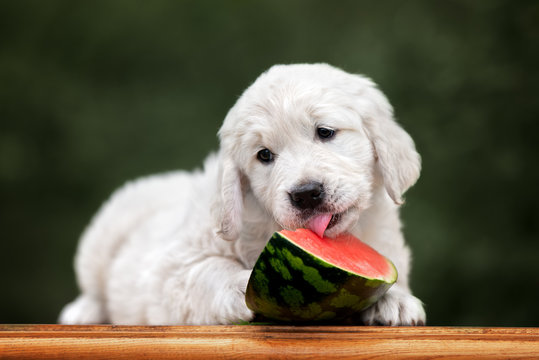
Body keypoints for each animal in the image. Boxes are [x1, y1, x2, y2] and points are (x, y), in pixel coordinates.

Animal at [59, 63, 428, 324]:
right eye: (264, 155)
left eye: (325, 132)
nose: (306, 194)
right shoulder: (175, 266)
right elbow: (207, 272)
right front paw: (240, 283)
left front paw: (395, 300)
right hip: (103, 233)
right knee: (92, 286)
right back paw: (82, 312)